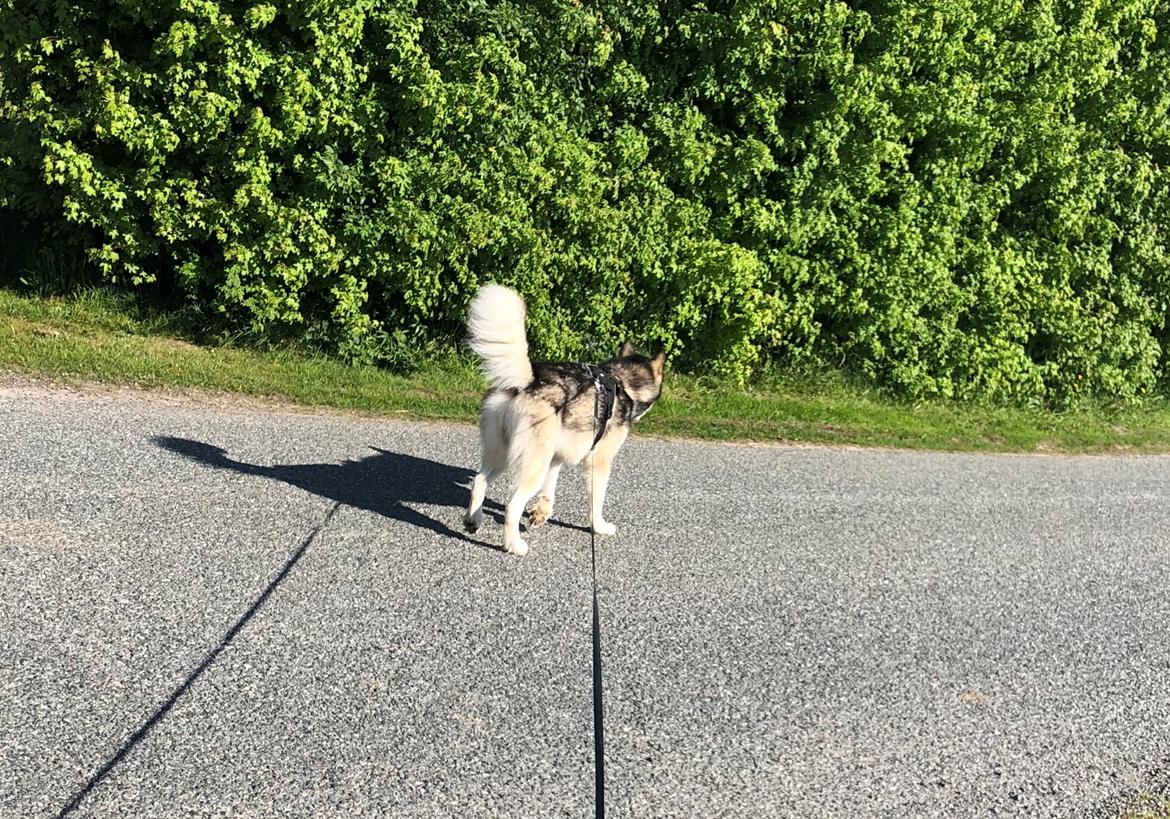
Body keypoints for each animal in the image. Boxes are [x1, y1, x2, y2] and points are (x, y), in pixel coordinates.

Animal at [460, 283, 664, 556]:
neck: (621, 381)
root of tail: (529, 380)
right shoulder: (598, 463)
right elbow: (596, 503)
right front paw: (599, 527)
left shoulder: (555, 458)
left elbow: (549, 490)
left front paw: (541, 513)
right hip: (532, 465)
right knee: (512, 505)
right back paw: (514, 545)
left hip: (504, 454)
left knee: (479, 481)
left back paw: (473, 520)